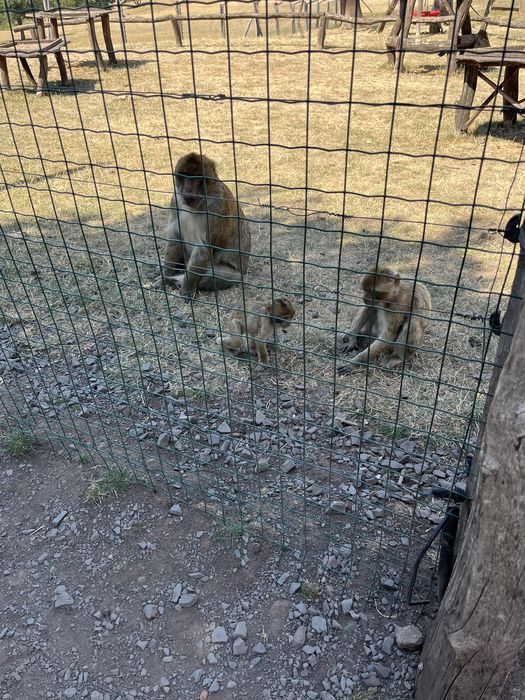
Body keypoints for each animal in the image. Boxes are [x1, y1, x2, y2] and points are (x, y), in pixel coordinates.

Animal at [157, 153, 251, 298]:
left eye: (195, 178)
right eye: (184, 176)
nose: (187, 189)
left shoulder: (216, 207)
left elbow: (203, 250)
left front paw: (186, 288)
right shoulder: (175, 200)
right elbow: (175, 238)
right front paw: (165, 274)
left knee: (226, 275)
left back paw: (174, 281)